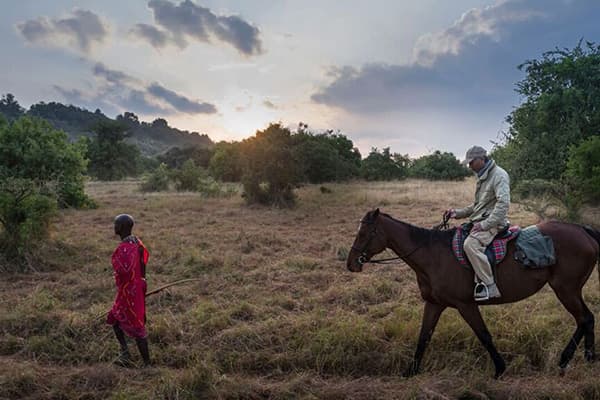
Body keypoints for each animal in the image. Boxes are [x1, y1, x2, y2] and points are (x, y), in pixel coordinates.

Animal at [346, 209, 600, 378]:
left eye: (364, 233)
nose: (351, 264)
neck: (432, 255)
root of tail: (583, 230)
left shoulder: (466, 305)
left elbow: (484, 335)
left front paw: (500, 369)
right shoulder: (434, 304)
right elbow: (423, 337)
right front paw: (411, 371)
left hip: (566, 289)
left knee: (585, 318)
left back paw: (574, 359)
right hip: (569, 290)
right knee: (585, 320)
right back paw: (578, 359)